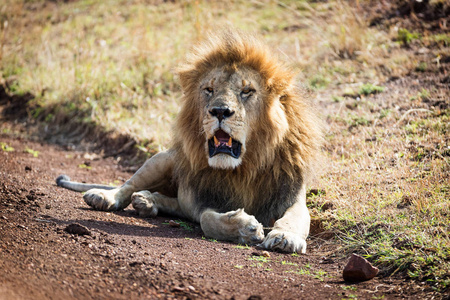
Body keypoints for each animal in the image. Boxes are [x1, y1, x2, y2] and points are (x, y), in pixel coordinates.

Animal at [57, 29, 324, 253]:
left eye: (247, 91)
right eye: (209, 90)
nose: (220, 111)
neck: (244, 168)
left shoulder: (291, 194)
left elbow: (294, 218)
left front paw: (285, 237)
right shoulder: (205, 199)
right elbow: (207, 220)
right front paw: (245, 228)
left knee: (173, 203)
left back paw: (147, 201)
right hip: (161, 160)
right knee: (129, 185)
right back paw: (106, 197)